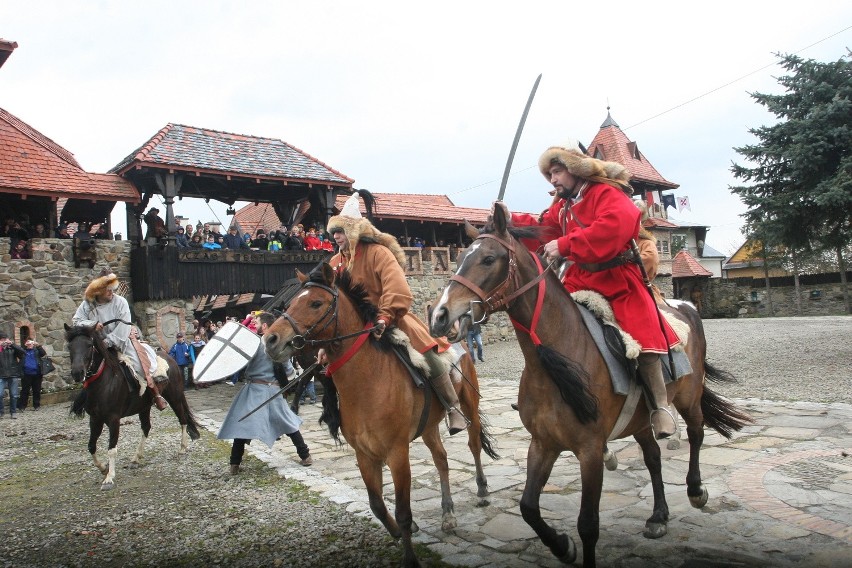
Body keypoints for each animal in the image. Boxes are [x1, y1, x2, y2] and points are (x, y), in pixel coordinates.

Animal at [65, 322, 201, 490]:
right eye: (69, 346)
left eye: (89, 345)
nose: (77, 373)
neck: (103, 382)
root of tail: (171, 359)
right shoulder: (95, 419)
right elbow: (91, 446)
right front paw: (103, 468)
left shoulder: (113, 419)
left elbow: (112, 448)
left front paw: (109, 478)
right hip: (144, 406)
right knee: (146, 427)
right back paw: (136, 458)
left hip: (174, 397)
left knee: (182, 419)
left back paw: (182, 448)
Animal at [262, 266, 496, 568]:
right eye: (290, 304)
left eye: (315, 303)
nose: (270, 339)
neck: (368, 380)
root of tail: (459, 344)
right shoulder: (364, 454)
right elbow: (377, 505)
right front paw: (397, 532)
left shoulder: (397, 453)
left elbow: (403, 511)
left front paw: (410, 557)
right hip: (429, 427)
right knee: (441, 460)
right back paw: (447, 513)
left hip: (469, 405)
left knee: (474, 444)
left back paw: (481, 489)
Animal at [430, 209, 748, 568]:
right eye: (458, 260)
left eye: (488, 259)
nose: (439, 317)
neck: (556, 357)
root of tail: (686, 307)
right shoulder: (543, 444)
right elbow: (528, 507)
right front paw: (561, 546)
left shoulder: (590, 450)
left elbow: (588, 524)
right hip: (641, 419)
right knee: (653, 457)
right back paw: (658, 516)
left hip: (688, 398)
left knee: (696, 433)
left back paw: (695, 490)